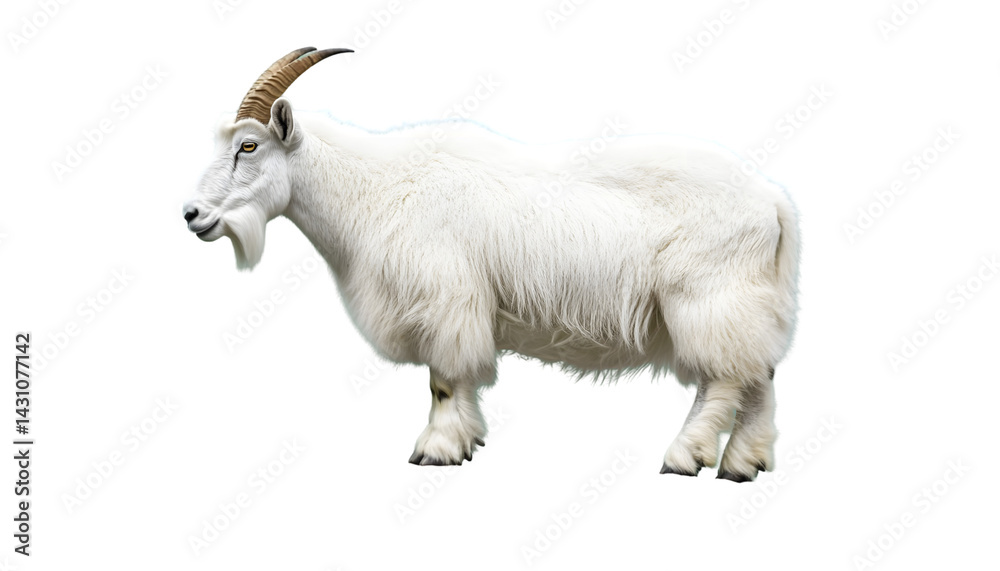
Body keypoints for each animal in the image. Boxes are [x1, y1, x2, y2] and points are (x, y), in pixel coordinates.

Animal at [184, 48, 800, 482]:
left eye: (248, 146)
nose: (192, 215)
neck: (373, 190)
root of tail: (772, 200)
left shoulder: (446, 299)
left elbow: (443, 380)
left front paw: (435, 450)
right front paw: (469, 441)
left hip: (708, 300)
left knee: (723, 380)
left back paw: (684, 456)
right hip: (750, 304)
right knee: (760, 376)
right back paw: (743, 464)